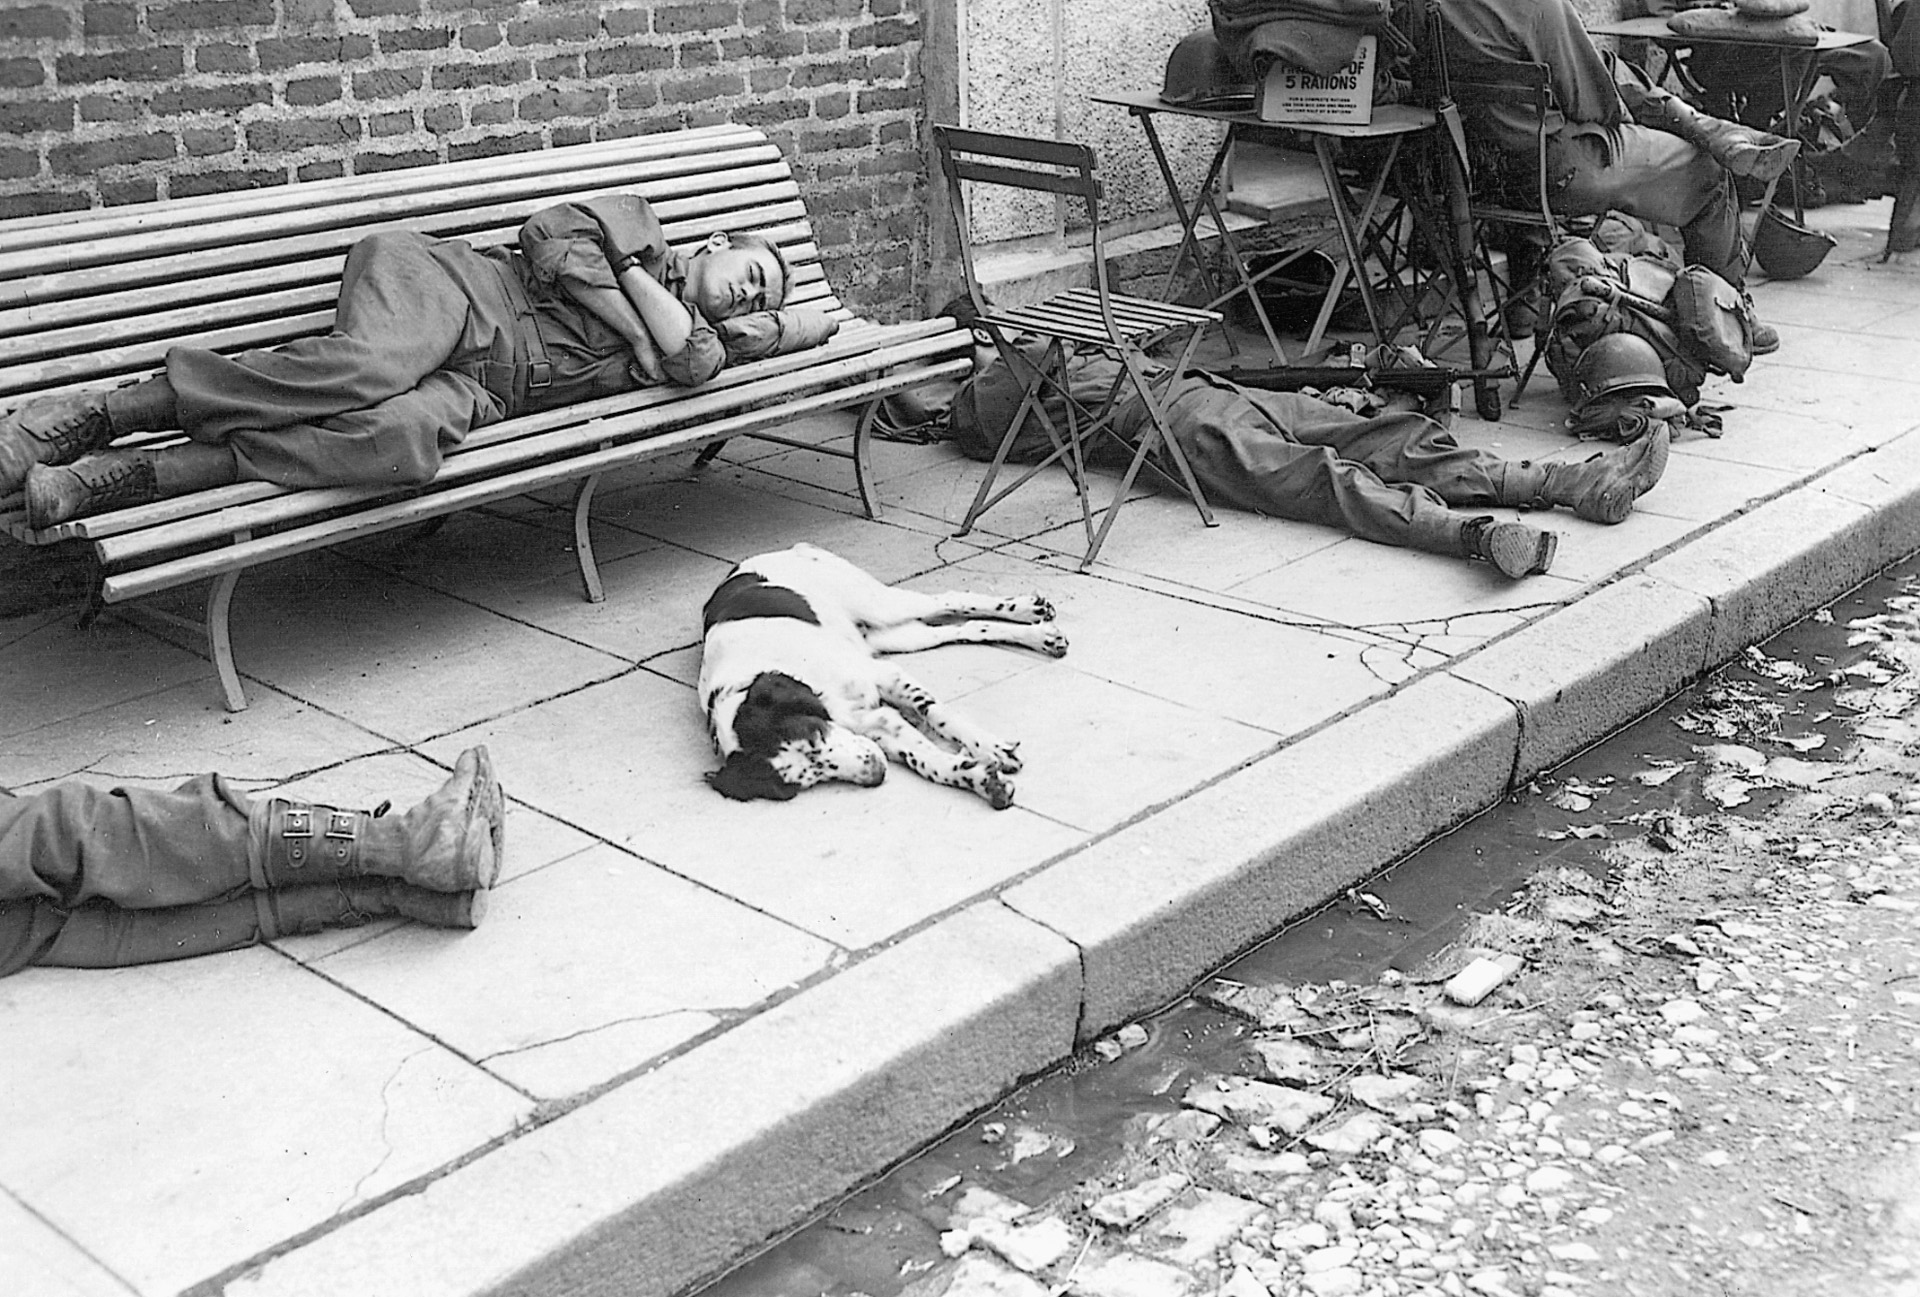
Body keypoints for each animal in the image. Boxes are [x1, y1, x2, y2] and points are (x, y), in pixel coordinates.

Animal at [702, 544, 1075, 809]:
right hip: (895, 635)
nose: (876, 775)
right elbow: (927, 760)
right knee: (964, 628)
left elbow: (936, 713)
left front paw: (988, 746)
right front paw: (979, 780)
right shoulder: (877, 722)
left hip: (878, 603)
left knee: (951, 599)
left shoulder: (883, 675)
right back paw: (1040, 635)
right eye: (801, 784)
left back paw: (1027, 609)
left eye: (815, 736)